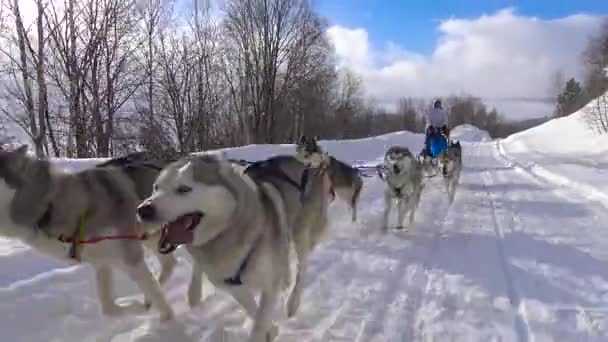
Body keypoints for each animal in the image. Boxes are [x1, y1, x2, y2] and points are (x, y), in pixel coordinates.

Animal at [0, 146, 178, 320]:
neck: (48, 207)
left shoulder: (131, 259)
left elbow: (158, 299)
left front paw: (167, 321)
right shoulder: (102, 263)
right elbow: (108, 308)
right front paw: (138, 306)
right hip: (150, 237)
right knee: (169, 263)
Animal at [137, 154, 332, 340]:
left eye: (183, 189)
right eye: (156, 187)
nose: (143, 209)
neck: (225, 234)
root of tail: (302, 163)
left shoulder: (269, 285)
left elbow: (260, 322)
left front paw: (265, 331)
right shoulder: (234, 286)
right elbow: (254, 311)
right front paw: (272, 330)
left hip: (301, 233)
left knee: (302, 267)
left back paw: (293, 302)